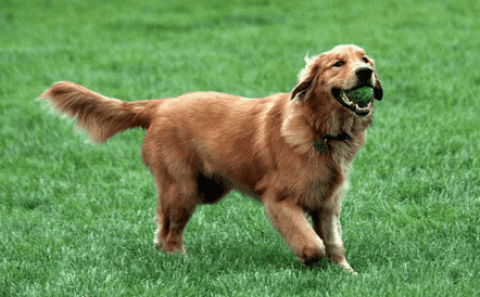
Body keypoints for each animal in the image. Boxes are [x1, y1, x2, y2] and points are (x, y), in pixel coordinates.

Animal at [40, 44, 382, 272]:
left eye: (365, 60)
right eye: (338, 63)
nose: (365, 73)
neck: (319, 129)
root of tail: (161, 105)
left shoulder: (327, 204)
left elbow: (334, 243)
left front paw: (345, 273)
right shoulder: (280, 201)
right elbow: (311, 243)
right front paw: (310, 260)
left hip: (207, 188)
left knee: (162, 222)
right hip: (184, 188)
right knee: (170, 229)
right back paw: (179, 258)